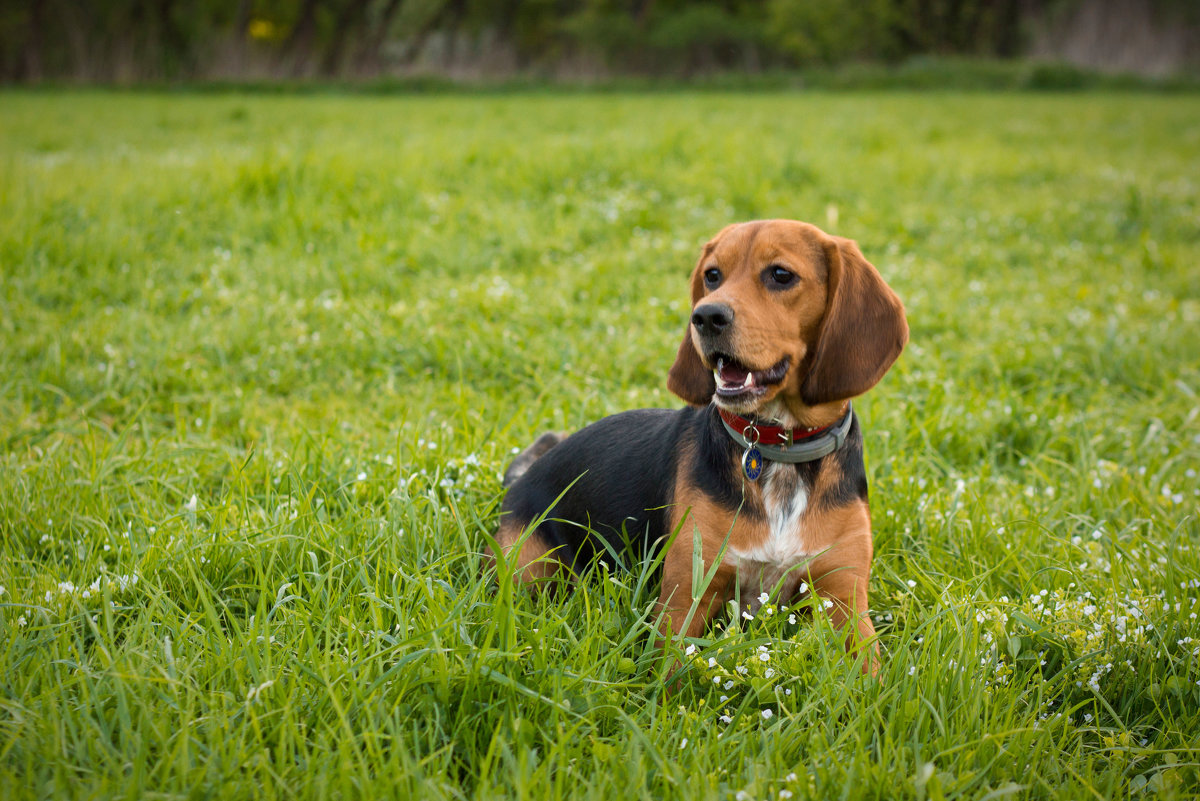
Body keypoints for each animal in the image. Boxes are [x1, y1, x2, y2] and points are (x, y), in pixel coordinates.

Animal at [492, 217, 902, 671]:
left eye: (780, 274)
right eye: (713, 275)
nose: (705, 316)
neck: (779, 448)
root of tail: (521, 479)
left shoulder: (845, 596)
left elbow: (867, 674)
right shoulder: (686, 595)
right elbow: (667, 672)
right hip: (530, 568)